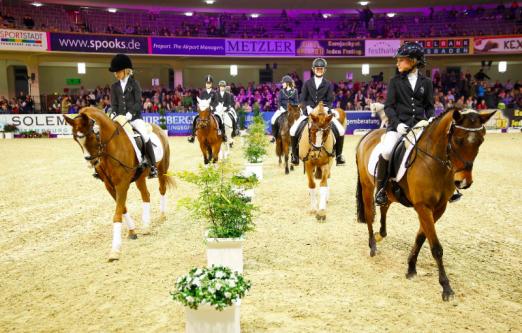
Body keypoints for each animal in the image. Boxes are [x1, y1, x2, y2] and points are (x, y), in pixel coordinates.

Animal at [64, 105, 174, 260]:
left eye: (92, 135)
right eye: (75, 139)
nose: (92, 162)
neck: (110, 150)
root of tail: (157, 127)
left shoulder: (122, 184)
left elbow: (117, 214)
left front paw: (115, 250)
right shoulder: (109, 186)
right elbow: (122, 208)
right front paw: (132, 231)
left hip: (162, 169)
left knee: (162, 189)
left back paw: (161, 216)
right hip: (140, 178)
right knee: (146, 195)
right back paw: (146, 226)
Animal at [356, 107, 494, 300]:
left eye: (481, 141)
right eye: (458, 140)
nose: (464, 182)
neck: (435, 163)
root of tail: (368, 135)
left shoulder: (439, 208)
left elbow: (421, 237)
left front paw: (411, 268)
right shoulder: (423, 206)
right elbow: (436, 247)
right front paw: (446, 287)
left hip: (389, 193)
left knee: (384, 207)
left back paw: (379, 234)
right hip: (367, 186)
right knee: (369, 214)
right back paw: (373, 246)